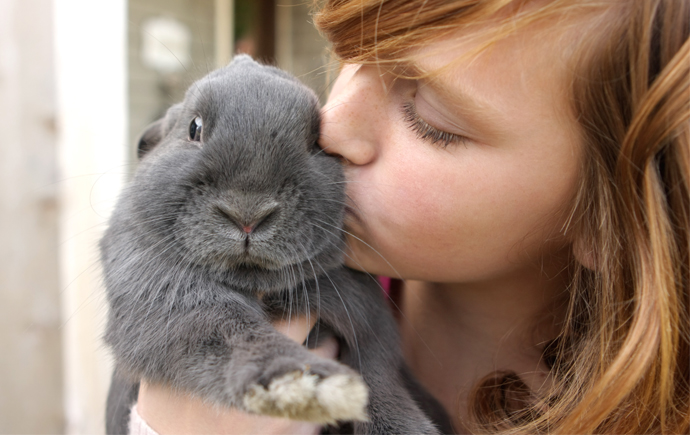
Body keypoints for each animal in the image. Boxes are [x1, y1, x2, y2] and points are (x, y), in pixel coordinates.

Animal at [101, 56, 446, 434]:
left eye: (315, 141)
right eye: (194, 128)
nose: (247, 215)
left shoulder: (369, 321)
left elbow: (378, 374)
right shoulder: (163, 297)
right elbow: (230, 332)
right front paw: (301, 385)